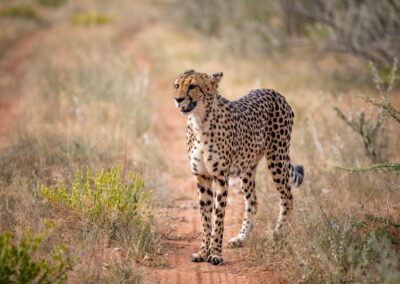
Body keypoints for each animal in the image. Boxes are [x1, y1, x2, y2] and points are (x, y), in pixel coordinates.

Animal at [173, 70, 304, 266]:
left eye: (193, 86)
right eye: (177, 85)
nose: (178, 99)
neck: (199, 121)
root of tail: (273, 91)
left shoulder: (221, 177)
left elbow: (219, 218)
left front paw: (215, 253)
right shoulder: (201, 177)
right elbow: (205, 219)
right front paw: (203, 252)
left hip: (277, 158)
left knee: (287, 197)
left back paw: (278, 235)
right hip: (248, 168)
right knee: (253, 201)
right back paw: (242, 238)